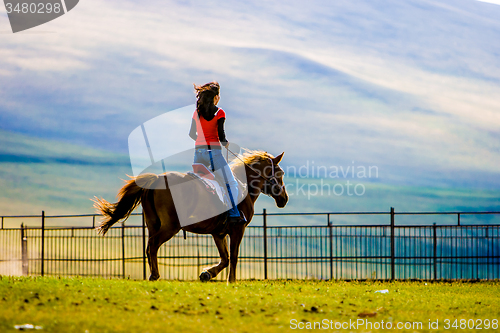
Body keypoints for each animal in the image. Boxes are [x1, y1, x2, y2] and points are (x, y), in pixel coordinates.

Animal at [94, 149, 290, 282]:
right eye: (280, 173)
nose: (284, 198)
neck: (244, 185)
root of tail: (156, 179)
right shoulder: (237, 229)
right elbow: (233, 256)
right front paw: (231, 280)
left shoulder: (218, 233)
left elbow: (225, 258)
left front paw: (207, 274)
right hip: (170, 227)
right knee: (153, 245)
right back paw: (155, 275)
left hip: (153, 224)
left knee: (149, 247)